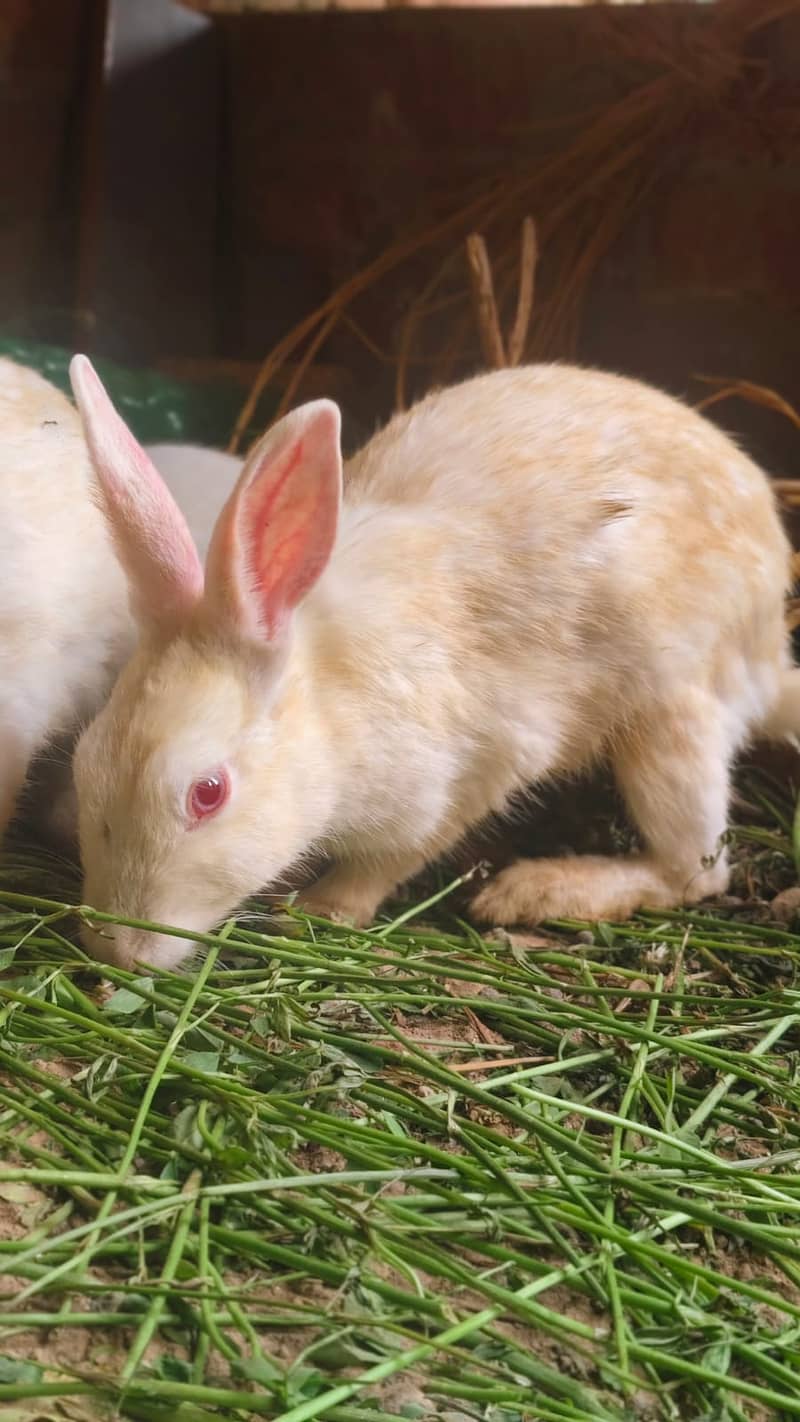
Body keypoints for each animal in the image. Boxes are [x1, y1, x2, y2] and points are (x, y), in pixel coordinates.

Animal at [68, 353, 799, 971]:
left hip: (672, 719)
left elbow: (390, 861)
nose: (116, 951)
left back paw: (536, 890)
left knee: (695, 870)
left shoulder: (468, 776)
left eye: (208, 792)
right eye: (84, 761)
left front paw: (322, 910)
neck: (326, 707)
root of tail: (770, 648)